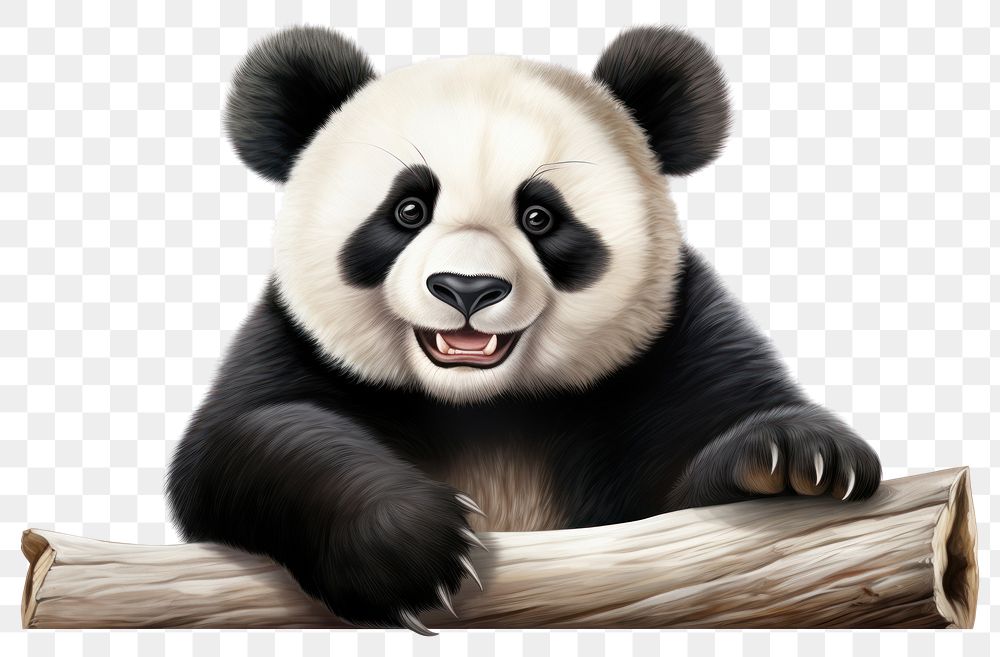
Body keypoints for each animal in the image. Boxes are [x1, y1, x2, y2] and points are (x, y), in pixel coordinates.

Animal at [167, 25, 881, 634]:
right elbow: (251, 437)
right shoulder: (293, 341)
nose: (467, 289)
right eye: (408, 209)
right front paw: (407, 548)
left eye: (540, 217)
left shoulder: (672, 339)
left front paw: (794, 458)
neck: (485, 405)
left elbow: (689, 482)